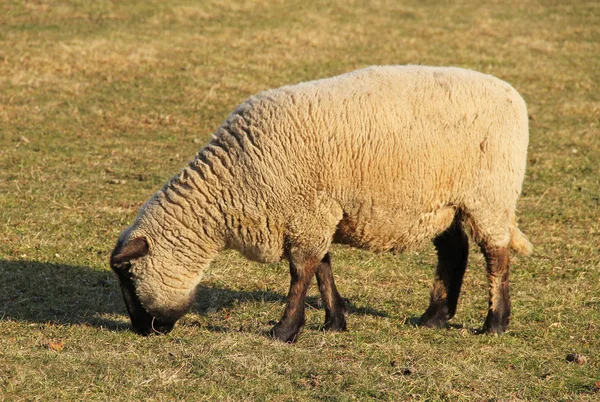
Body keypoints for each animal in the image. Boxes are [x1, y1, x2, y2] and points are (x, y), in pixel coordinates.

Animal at [110, 66, 532, 342]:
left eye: (128, 276)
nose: (142, 331)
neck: (231, 185)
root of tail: (512, 94)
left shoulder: (308, 211)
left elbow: (301, 272)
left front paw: (284, 331)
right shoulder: (314, 213)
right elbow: (321, 268)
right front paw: (334, 321)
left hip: (489, 193)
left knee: (496, 255)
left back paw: (494, 323)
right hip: (442, 201)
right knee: (454, 251)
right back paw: (434, 317)